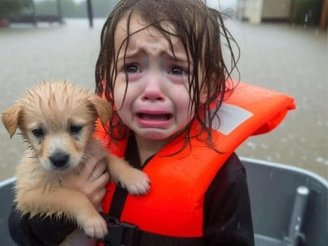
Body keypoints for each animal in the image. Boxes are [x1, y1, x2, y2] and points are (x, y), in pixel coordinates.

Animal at [0, 81, 150, 241]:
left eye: (75, 128)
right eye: (37, 132)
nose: (59, 159)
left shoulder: (95, 152)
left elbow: (112, 159)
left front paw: (134, 177)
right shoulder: (29, 194)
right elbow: (73, 196)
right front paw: (93, 220)